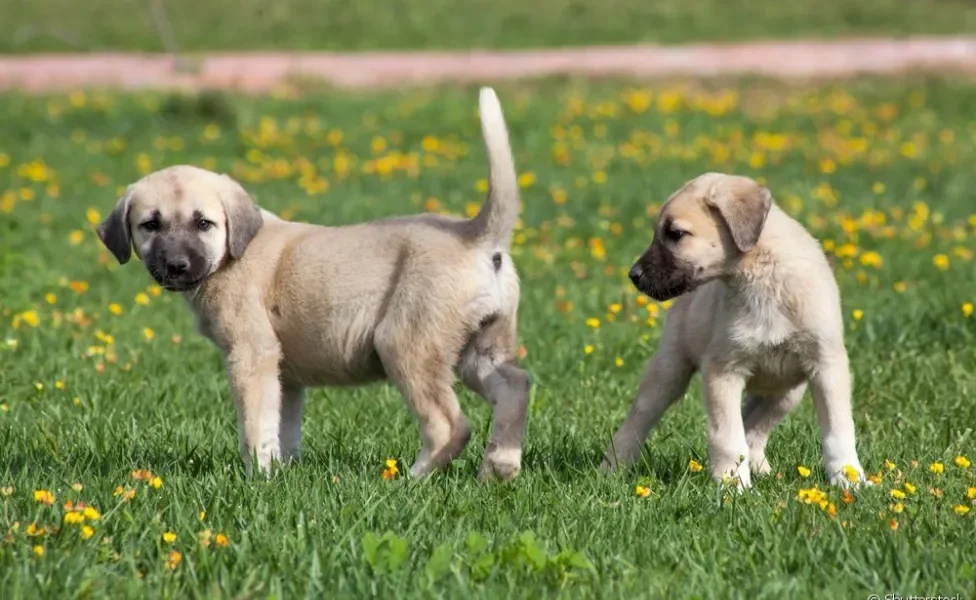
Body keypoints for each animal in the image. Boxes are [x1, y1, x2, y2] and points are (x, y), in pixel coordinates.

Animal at [95, 89, 528, 480]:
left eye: (204, 223)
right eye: (150, 225)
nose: (176, 266)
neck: (233, 253)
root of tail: (476, 235)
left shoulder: (251, 355)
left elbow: (255, 425)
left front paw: (257, 478)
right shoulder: (285, 374)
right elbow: (281, 428)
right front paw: (281, 473)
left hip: (407, 344)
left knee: (450, 426)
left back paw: (413, 478)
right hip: (481, 348)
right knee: (514, 387)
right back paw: (499, 468)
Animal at [604, 171, 868, 490]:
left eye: (675, 234)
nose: (634, 276)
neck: (764, 278)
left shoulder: (826, 365)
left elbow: (838, 431)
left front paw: (849, 478)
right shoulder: (723, 371)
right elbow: (728, 437)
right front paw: (733, 487)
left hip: (785, 392)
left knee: (754, 426)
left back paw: (762, 469)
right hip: (669, 371)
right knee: (639, 419)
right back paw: (613, 467)